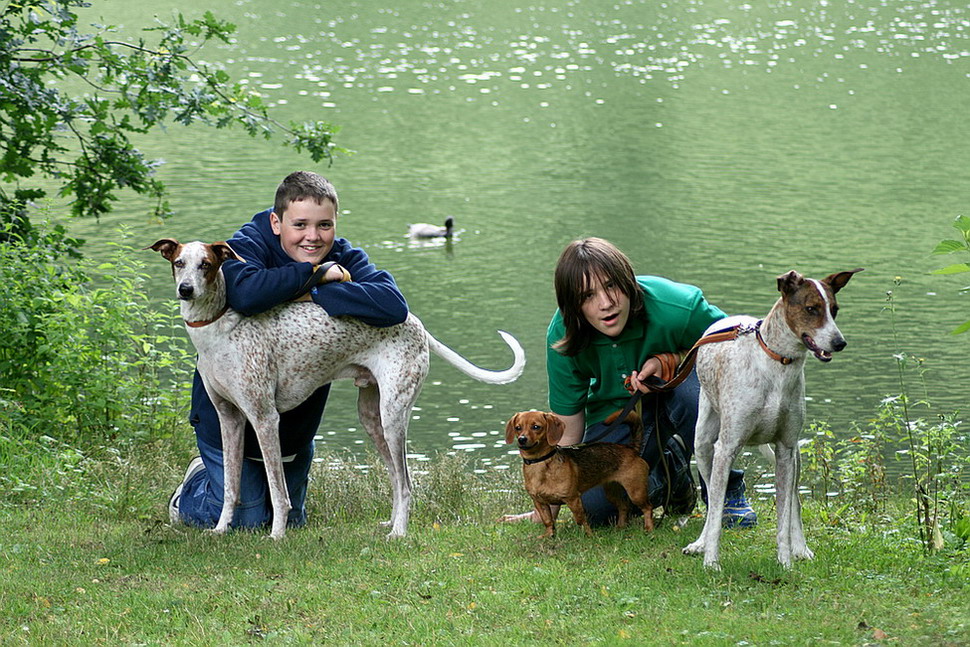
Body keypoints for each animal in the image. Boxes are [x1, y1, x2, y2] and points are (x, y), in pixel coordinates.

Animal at [684, 268, 860, 568]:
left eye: (835, 310)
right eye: (811, 308)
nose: (840, 343)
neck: (778, 365)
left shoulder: (785, 449)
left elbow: (784, 517)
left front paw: (786, 561)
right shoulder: (726, 449)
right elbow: (716, 512)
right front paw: (711, 562)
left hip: (795, 457)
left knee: (795, 502)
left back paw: (802, 548)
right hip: (704, 445)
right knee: (710, 498)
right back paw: (700, 543)